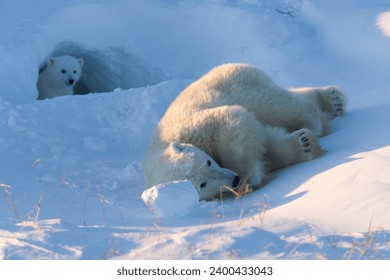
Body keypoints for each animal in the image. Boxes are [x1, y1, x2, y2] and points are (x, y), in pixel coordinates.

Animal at [145, 63, 346, 200]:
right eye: (203, 184)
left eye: (208, 162)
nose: (234, 179)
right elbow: (267, 142)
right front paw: (304, 144)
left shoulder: (198, 128)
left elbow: (232, 119)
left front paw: (249, 177)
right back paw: (332, 100)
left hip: (242, 87)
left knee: (279, 105)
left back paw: (321, 113)